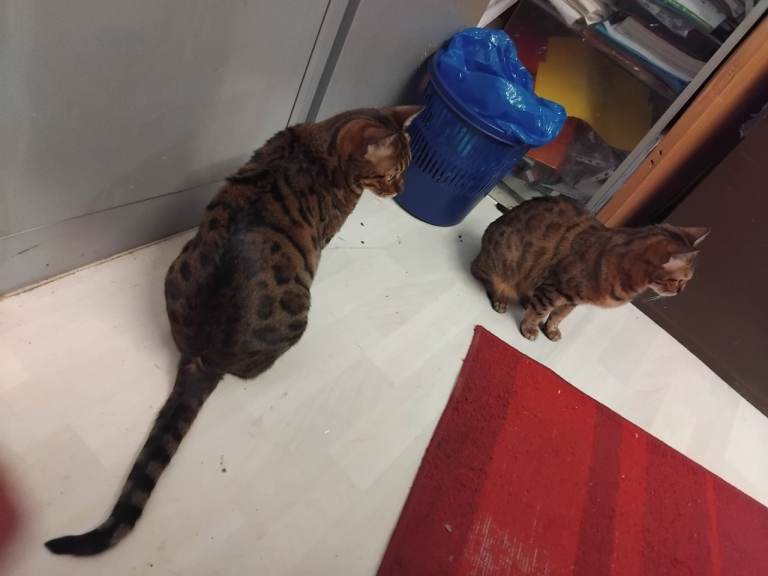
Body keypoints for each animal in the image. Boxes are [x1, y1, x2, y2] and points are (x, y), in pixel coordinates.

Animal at [44, 105, 420, 556]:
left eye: (406, 169)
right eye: (392, 172)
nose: (401, 189)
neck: (322, 146)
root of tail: (205, 356)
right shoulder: (326, 234)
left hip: (176, 267)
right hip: (299, 314)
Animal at [471, 197, 709, 341]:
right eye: (680, 281)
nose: (681, 292)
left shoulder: (572, 299)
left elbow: (559, 315)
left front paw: (551, 329)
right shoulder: (555, 288)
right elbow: (541, 311)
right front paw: (530, 327)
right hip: (502, 265)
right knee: (482, 274)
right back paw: (501, 299)